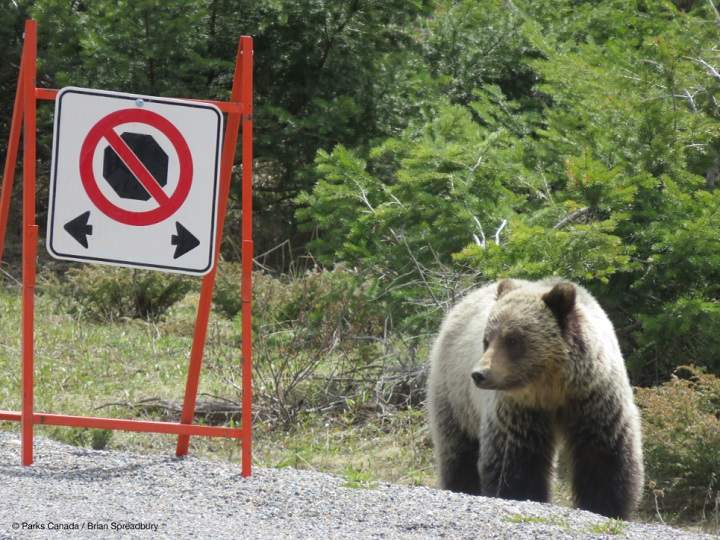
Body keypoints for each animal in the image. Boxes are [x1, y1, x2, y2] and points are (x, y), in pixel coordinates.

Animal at [426, 278, 644, 520]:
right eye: (487, 340)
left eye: (512, 340)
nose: (479, 374)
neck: (553, 387)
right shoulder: (519, 409)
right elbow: (517, 457)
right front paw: (520, 493)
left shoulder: (593, 398)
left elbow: (603, 454)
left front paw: (605, 506)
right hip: (454, 394)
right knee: (458, 447)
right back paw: (461, 485)